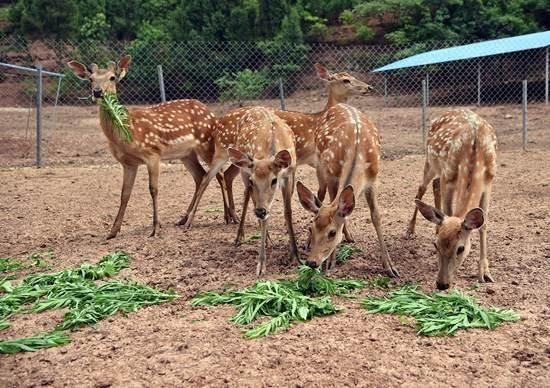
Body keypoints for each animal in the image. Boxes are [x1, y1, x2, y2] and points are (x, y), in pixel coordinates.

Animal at [68, 55, 234, 238]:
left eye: (112, 77)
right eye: (90, 79)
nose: (97, 92)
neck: (127, 132)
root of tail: (211, 114)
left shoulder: (152, 153)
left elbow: (153, 189)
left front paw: (155, 228)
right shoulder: (128, 163)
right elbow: (124, 194)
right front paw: (113, 231)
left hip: (206, 144)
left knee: (218, 174)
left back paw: (228, 216)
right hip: (186, 154)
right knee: (200, 176)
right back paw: (184, 218)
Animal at [296, 103, 398, 276]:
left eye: (332, 232)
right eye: (311, 228)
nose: (311, 262)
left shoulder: (373, 181)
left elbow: (376, 217)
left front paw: (390, 267)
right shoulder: (332, 175)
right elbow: (333, 203)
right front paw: (330, 262)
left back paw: (349, 236)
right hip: (320, 165)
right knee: (320, 195)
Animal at [406, 107, 500, 290]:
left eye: (461, 249)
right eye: (436, 245)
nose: (442, 284)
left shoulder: (489, 181)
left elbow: (484, 225)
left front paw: (485, 273)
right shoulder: (448, 177)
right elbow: (448, 210)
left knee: (434, 185)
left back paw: (434, 225)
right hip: (430, 161)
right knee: (422, 188)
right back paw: (410, 229)